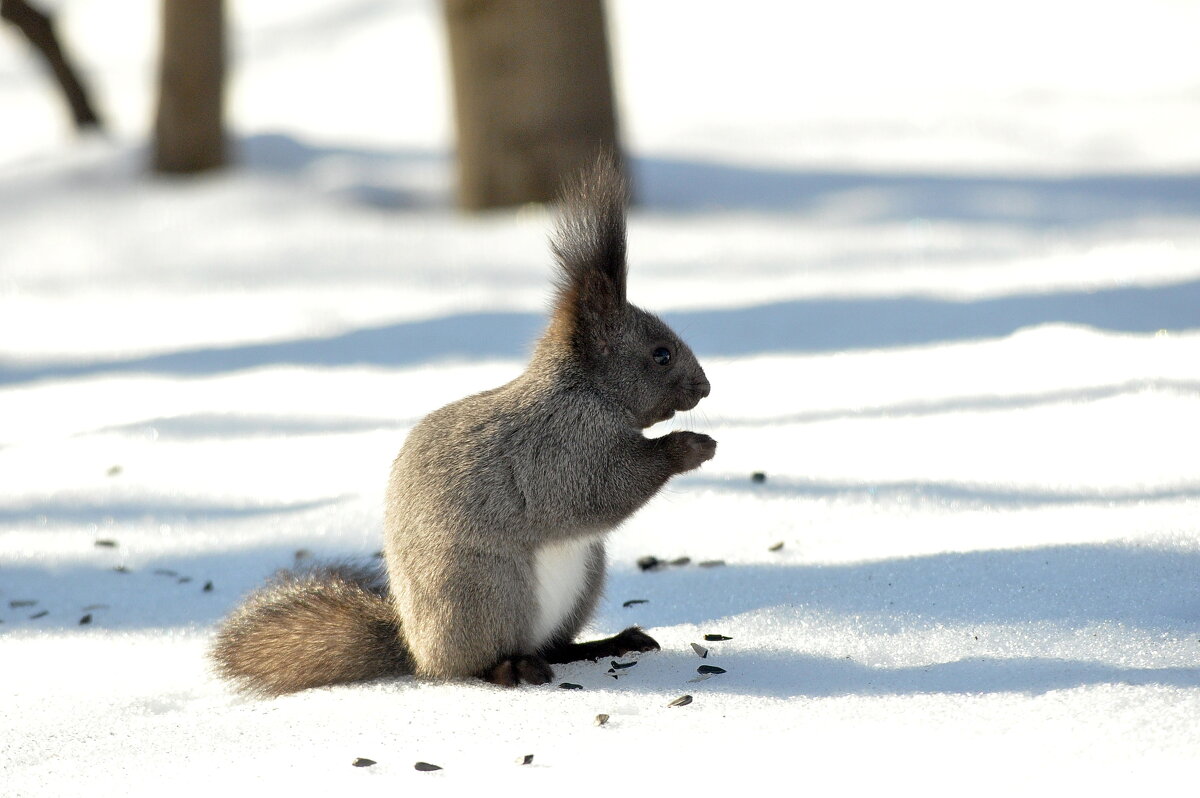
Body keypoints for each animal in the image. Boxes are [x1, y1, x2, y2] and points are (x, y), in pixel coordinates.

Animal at [208, 153, 710, 691]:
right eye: (660, 354)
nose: (705, 388)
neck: (584, 392)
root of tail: (416, 650)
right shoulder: (557, 452)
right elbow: (602, 488)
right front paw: (690, 446)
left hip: (583, 577)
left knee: (557, 645)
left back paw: (608, 643)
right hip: (486, 591)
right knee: (477, 664)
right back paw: (514, 667)